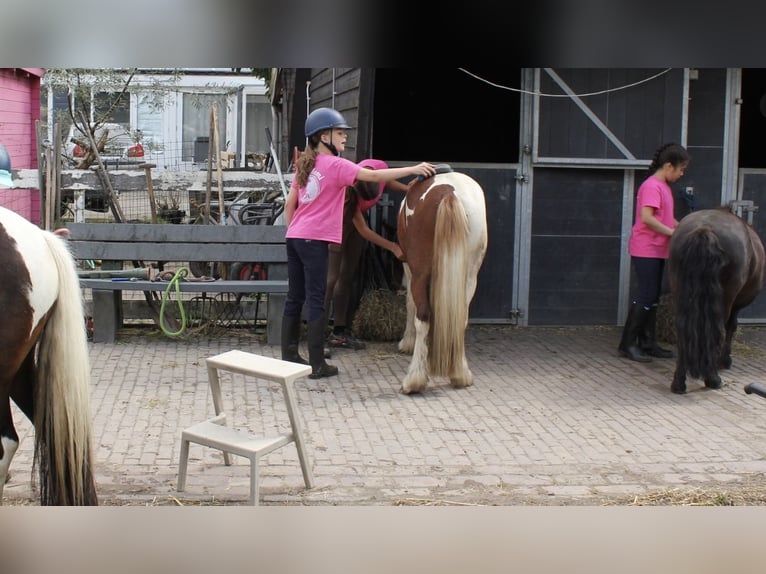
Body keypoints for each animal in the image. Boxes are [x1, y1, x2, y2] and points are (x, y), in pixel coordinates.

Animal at [400, 171, 488, 396]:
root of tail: (449, 191)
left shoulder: (408, 267)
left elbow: (410, 304)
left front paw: (407, 343)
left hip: (420, 272)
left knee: (423, 316)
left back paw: (414, 380)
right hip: (470, 276)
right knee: (461, 318)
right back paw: (460, 374)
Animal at [668, 208, 764, 396]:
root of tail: (704, 229)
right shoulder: (736, 305)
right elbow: (731, 327)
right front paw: (725, 360)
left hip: (680, 293)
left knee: (682, 330)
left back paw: (679, 382)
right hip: (725, 299)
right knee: (717, 330)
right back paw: (713, 379)